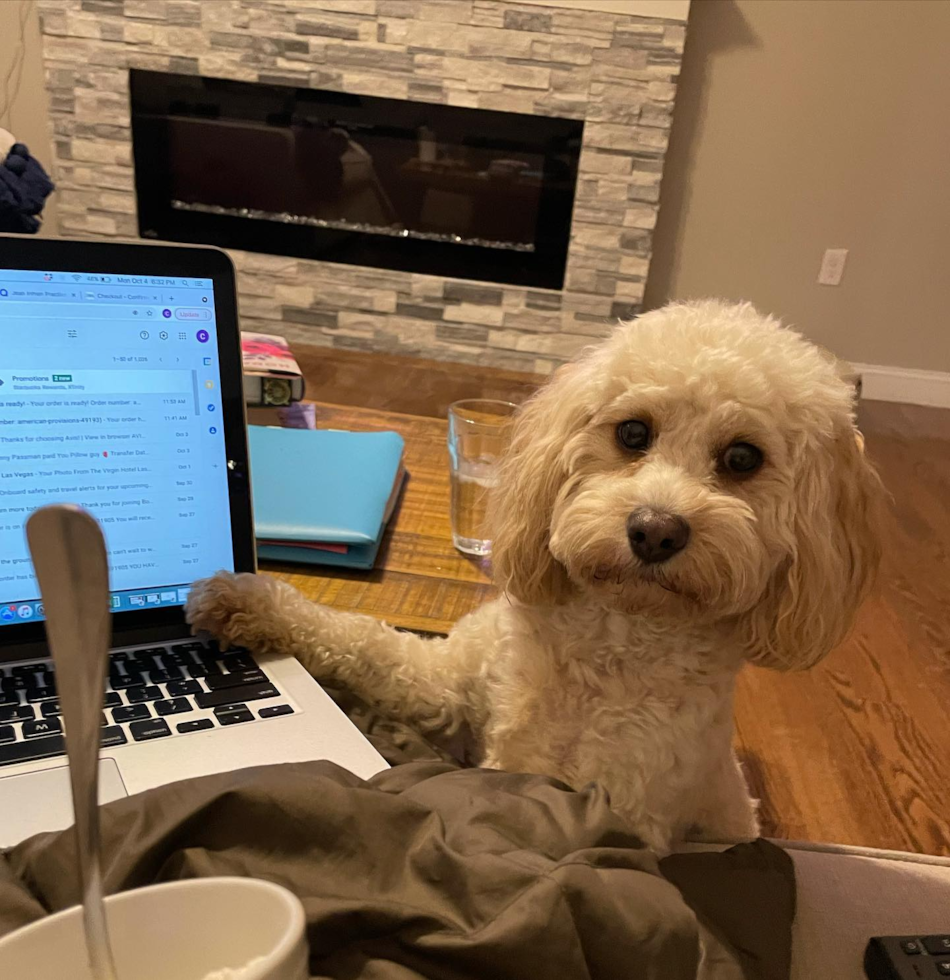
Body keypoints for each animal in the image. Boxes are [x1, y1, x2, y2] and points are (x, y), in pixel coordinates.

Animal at [186, 296, 884, 848]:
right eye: (633, 433)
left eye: (743, 458)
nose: (655, 530)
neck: (609, 643)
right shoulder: (448, 679)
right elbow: (366, 642)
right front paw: (245, 600)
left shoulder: (599, 806)